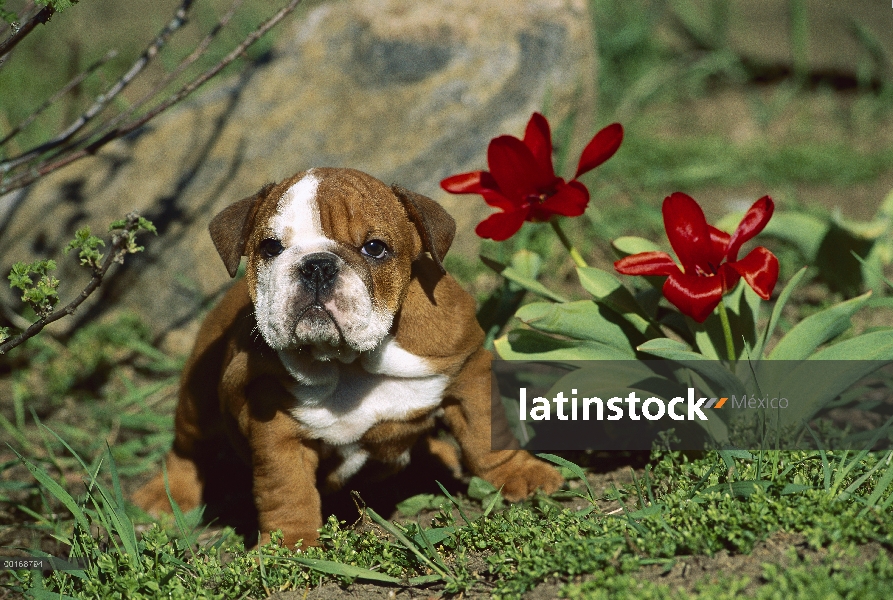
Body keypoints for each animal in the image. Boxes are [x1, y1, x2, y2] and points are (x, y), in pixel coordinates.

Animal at [132, 166, 560, 548]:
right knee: (188, 450)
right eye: (271, 248)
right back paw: (162, 500)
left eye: (375, 248)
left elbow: (488, 434)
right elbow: (286, 488)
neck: (351, 363)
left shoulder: (466, 371)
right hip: (198, 398)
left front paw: (521, 473)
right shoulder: (276, 429)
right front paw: (291, 545)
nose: (317, 264)